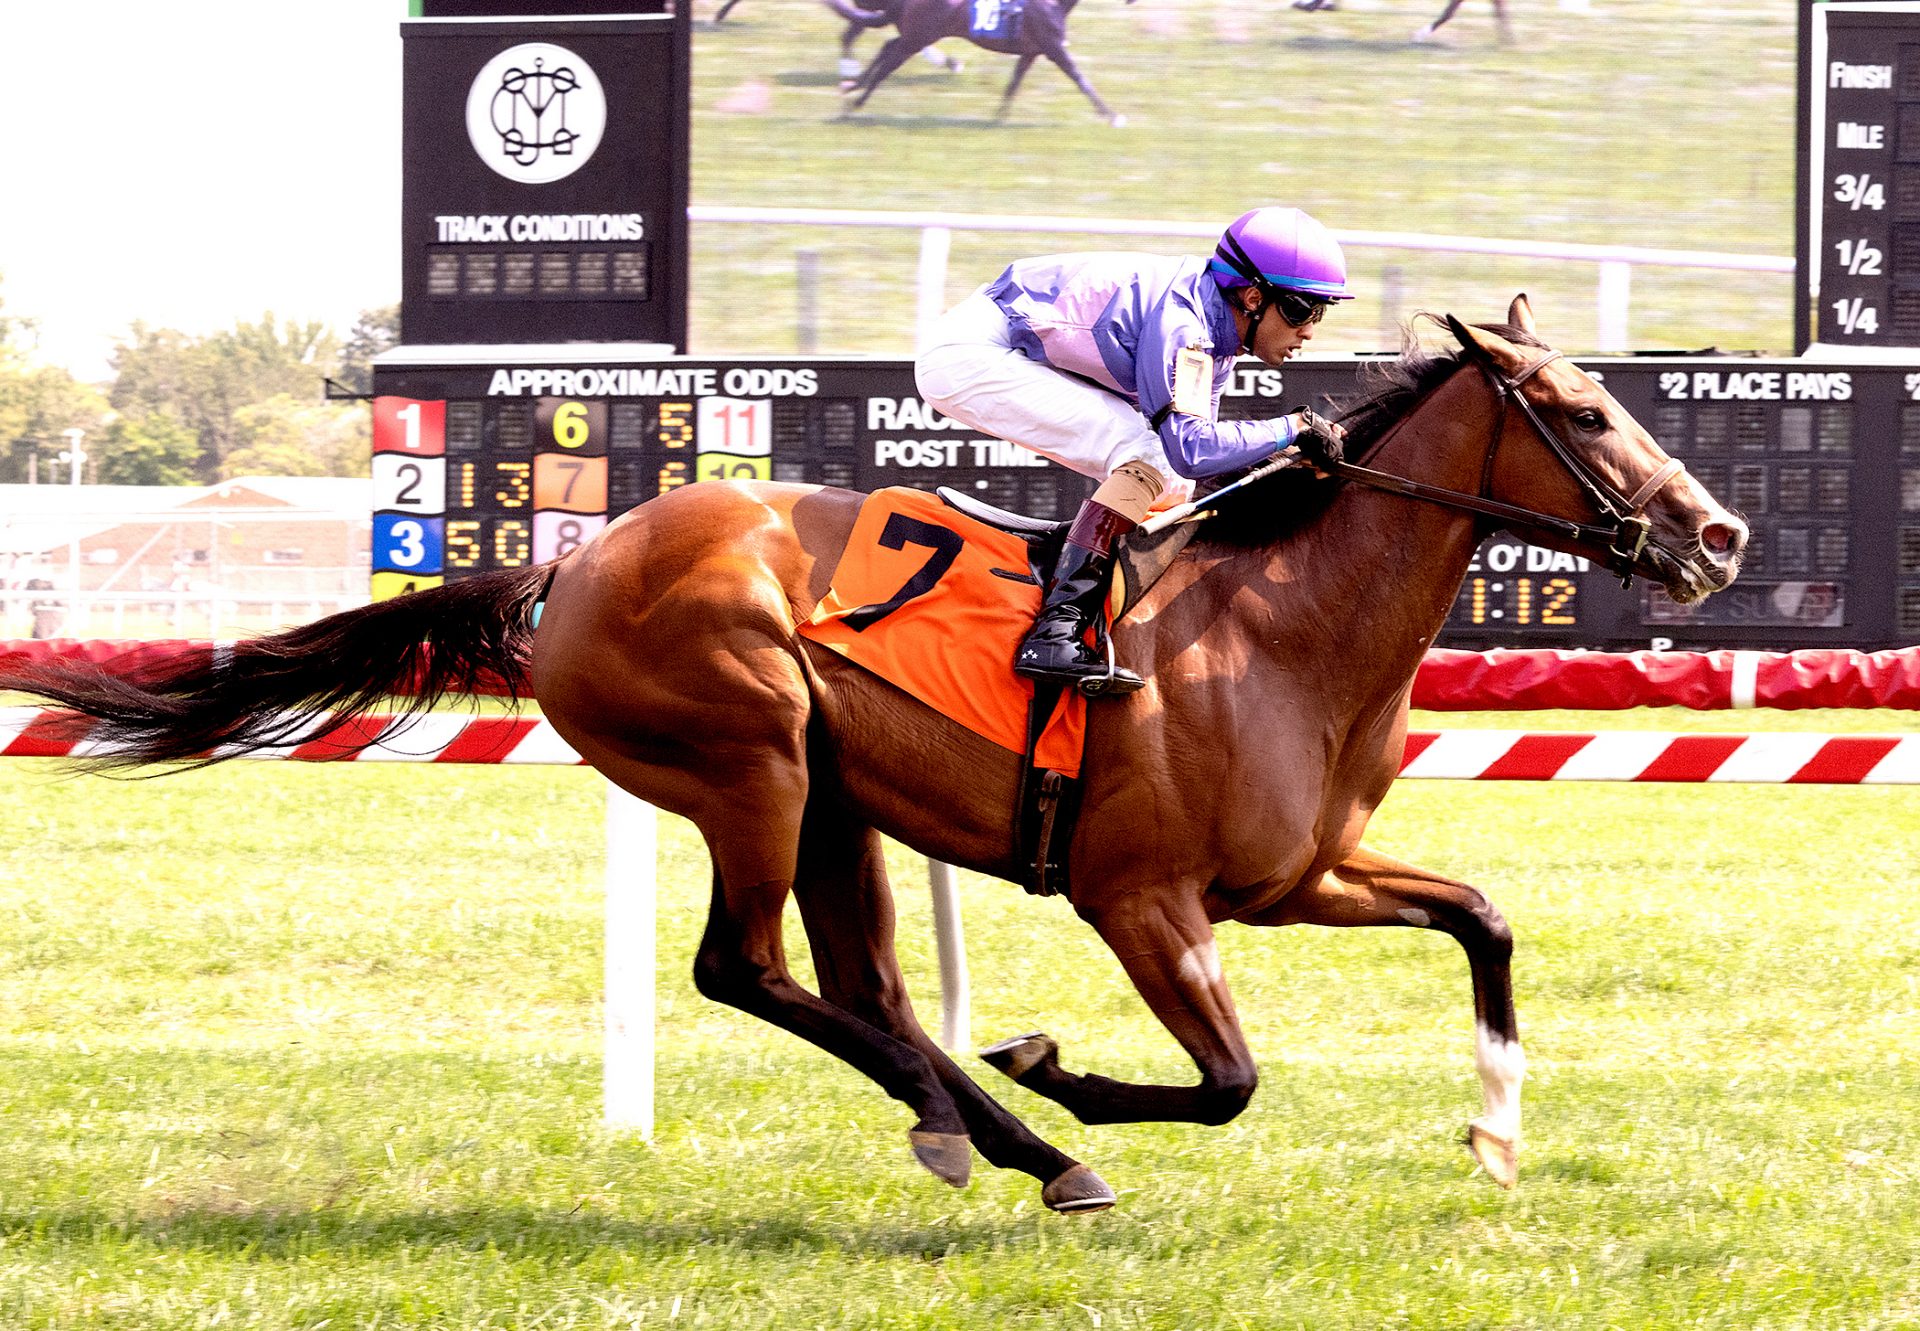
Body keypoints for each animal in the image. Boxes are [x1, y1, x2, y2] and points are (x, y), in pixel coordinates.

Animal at [0, 301, 1743, 1213]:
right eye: (1586, 414)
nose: (1717, 533)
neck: (1274, 623)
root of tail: (575, 563)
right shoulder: (1140, 895)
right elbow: (1230, 1078)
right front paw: (1059, 1069)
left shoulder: (1298, 871)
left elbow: (1484, 917)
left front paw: (1499, 1126)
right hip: (750, 759)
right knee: (747, 970)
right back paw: (1026, 1132)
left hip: (834, 794)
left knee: (862, 986)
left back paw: (969, 1124)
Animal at [833, 0, 1128, 124]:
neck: (1053, 3)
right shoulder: (1054, 49)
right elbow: (1080, 79)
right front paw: (1112, 115)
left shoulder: (1031, 53)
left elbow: (1013, 83)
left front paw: (999, 116)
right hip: (918, 37)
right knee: (887, 63)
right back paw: (856, 100)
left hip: (916, 35)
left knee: (887, 47)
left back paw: (853, 86)